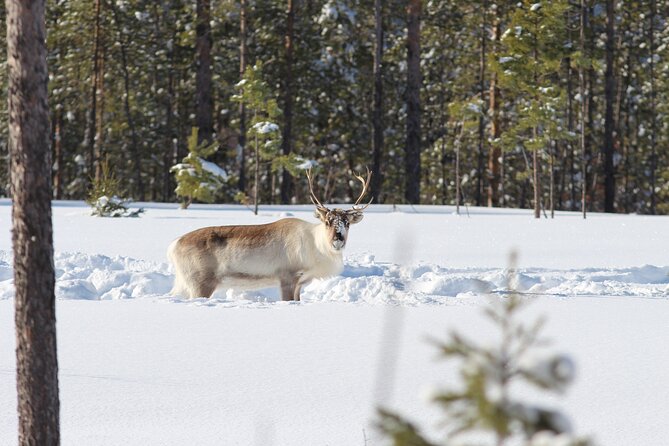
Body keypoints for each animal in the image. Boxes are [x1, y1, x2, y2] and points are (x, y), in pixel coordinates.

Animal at [167, 169, 371, 301]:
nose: (338, 239)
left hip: (184, 282)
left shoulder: (300, 282)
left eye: (347, 222)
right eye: (328, 221)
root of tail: (173, 245)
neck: (316, 248)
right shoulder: (287, 276)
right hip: (200, 282)